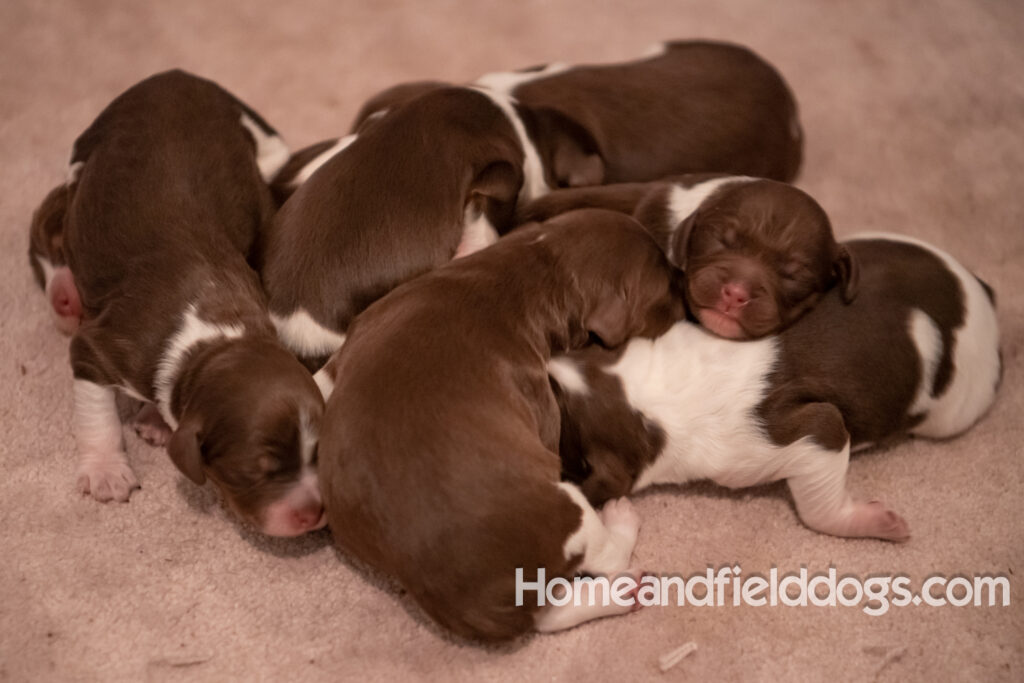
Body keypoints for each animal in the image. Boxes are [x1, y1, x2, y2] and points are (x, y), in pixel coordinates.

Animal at [57, 70, 327, 540]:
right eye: (254, 472)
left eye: (317, 455)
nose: (314, 513)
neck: (216, 338)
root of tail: (178, 76)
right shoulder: (101, 349)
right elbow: (96, 413)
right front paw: (106, 472)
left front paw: (154, 419)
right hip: (82, 155)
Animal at [317, 209, 688, 643]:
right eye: (665, 290)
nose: (685, 285)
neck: (535, 266)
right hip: (565, 511)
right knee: (604, 559)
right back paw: (622, 529)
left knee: (550, 612)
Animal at [552, 236, 999, 544]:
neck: (646, 391)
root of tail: (982, 293)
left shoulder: (810, 434)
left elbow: (819, 507)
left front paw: (879, 523)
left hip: (953, 412)